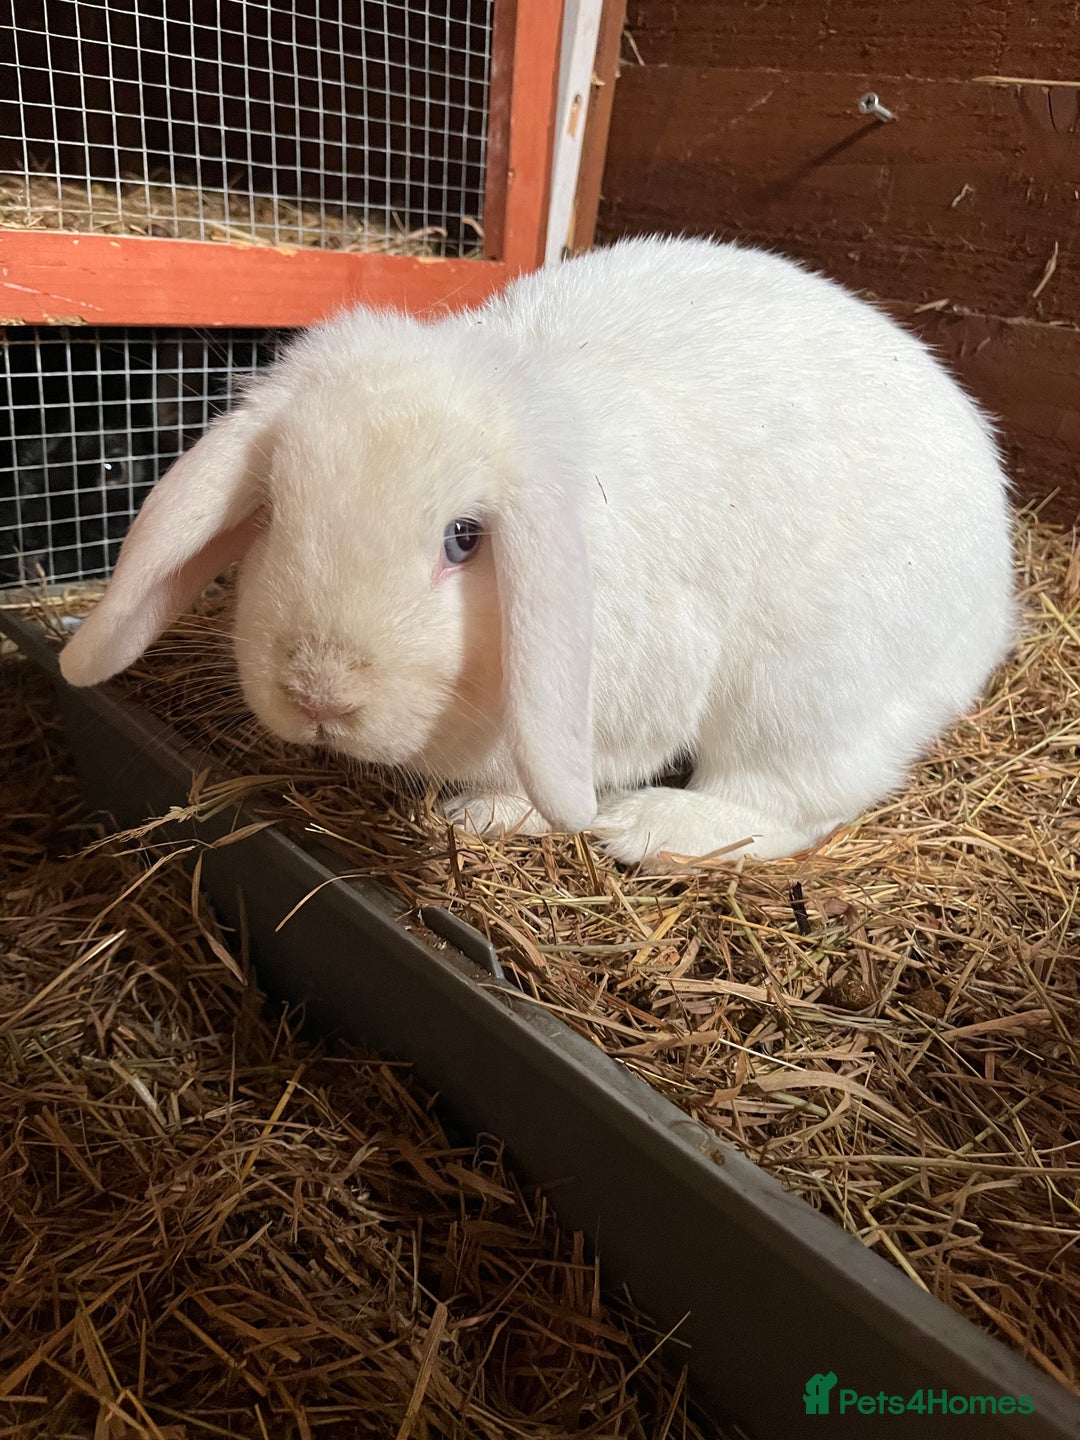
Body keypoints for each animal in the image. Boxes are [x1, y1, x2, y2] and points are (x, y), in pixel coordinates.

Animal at [58, 236, 1015, 866]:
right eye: (278, 509)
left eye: (463, 538)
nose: (318, 694)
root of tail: (995, 606)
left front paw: (481, 818)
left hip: (803, 694)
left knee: (785, 805)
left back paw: (641, 829)